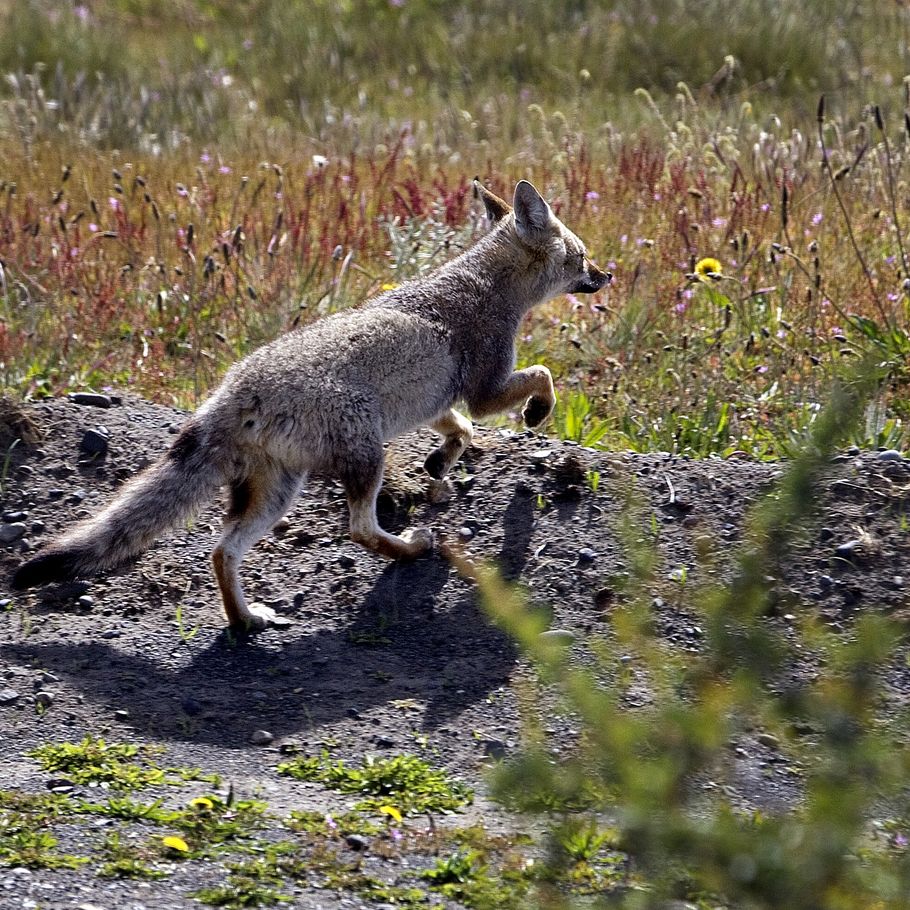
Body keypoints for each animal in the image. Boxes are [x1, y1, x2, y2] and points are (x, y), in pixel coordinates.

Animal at [10, 182, 612, 632]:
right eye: (582, 256)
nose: (607, 274)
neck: (481, 283)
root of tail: (233, 391)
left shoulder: (432, 401)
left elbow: (459, 428)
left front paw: (441, 462)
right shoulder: (486, 388)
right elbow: (542, 376)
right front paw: (536, 412)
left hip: (276, 492)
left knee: (222, 550)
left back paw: (245, 621)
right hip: (362, 460)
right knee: (359, 530)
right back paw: (411, 549)